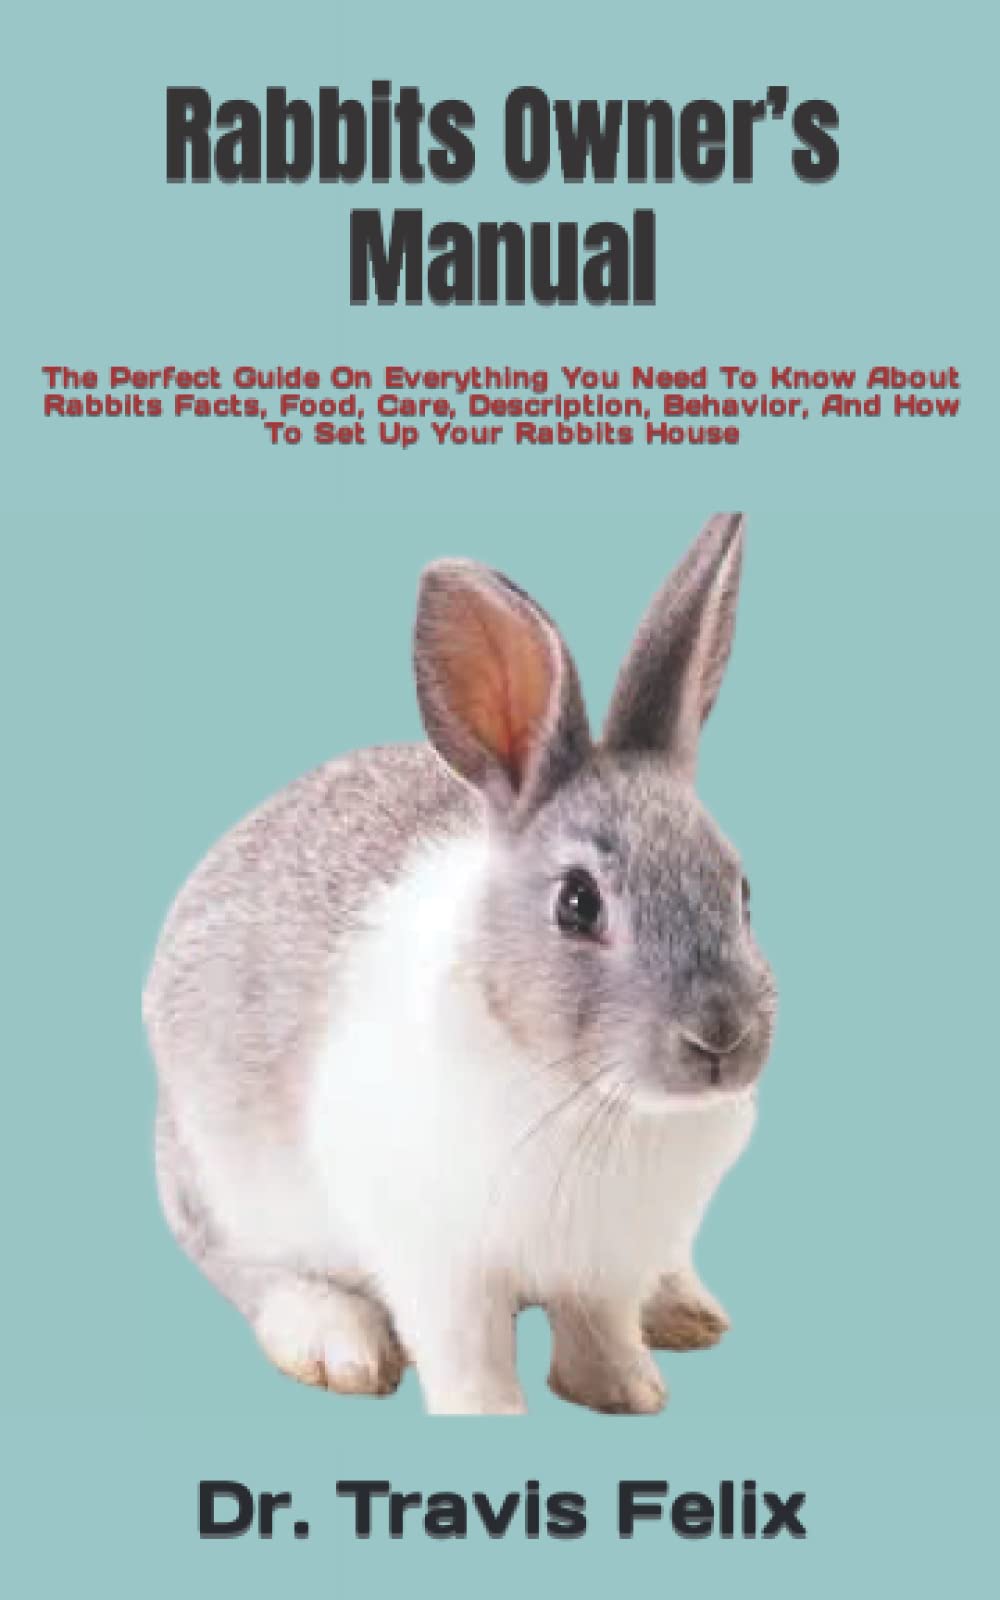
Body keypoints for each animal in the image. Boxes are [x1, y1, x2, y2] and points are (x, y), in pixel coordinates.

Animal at [143, 512, 777, 1416]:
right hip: (222, 1183)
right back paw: (334, 1341)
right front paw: (491, 1417)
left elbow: (600, 1326)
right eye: (577, 904)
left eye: (742, 889)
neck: (591, 1098)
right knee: (247, 1270)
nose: (722, 1039)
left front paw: (626, 1392)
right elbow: (466, 1348)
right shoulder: (439, 1261)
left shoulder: (607, 1264)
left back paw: (684, 1309)